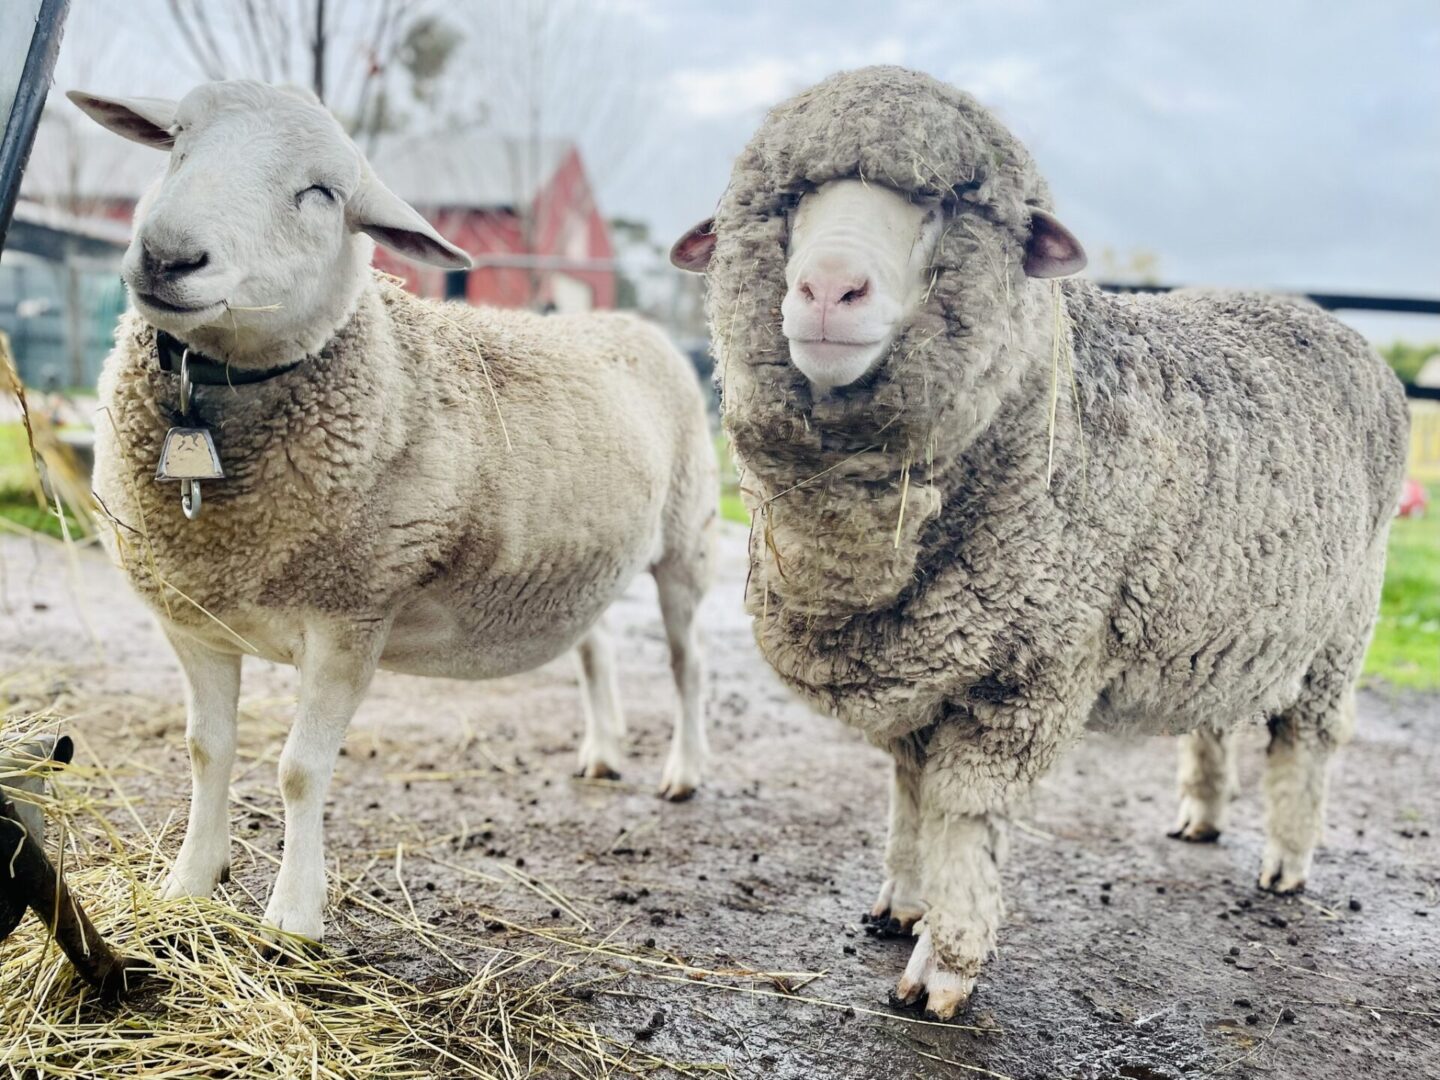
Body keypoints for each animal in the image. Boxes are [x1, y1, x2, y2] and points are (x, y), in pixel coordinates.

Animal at [70, 82, 717, 944]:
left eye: (322, 193)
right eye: (175, 142)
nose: (167, 255)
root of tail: (633, 325)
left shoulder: (352, 612)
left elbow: (299, 770)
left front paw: (293, 919)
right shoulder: (193, 618)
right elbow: (208, 750)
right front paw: (189, 884)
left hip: (686, 540)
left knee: (687, 664)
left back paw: (683, 771)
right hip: (584, 552)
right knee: (597, 646)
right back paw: (604, 751)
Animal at [673, 65, 1405, 1013]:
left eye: (944, 203)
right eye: (792, 201)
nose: (829, 290)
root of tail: (1331, 323)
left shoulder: (1021, 680)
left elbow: (965, 815)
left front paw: (944, 964)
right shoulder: (925, 665)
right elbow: (911, 793)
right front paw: (901, 901)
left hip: (1341, 628)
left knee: (1305, 742)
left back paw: (1286, 860)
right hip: (1222, 613)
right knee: (1216, 719)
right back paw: (1202, 817)